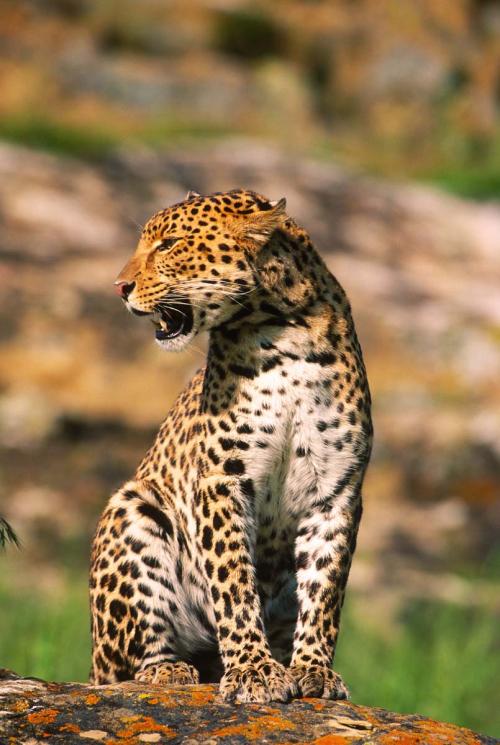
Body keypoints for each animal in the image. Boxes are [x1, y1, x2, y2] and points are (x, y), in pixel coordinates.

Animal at [89, 187, 372, 704]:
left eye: (169, 244)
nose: (119, 287)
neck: (283, 332)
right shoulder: (223, 479)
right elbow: (234, 581)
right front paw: (253, 671)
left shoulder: (336, 490)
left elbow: (324, 588)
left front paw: (314, 670)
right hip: (132, 509)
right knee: (127, 665)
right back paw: (170, 671)